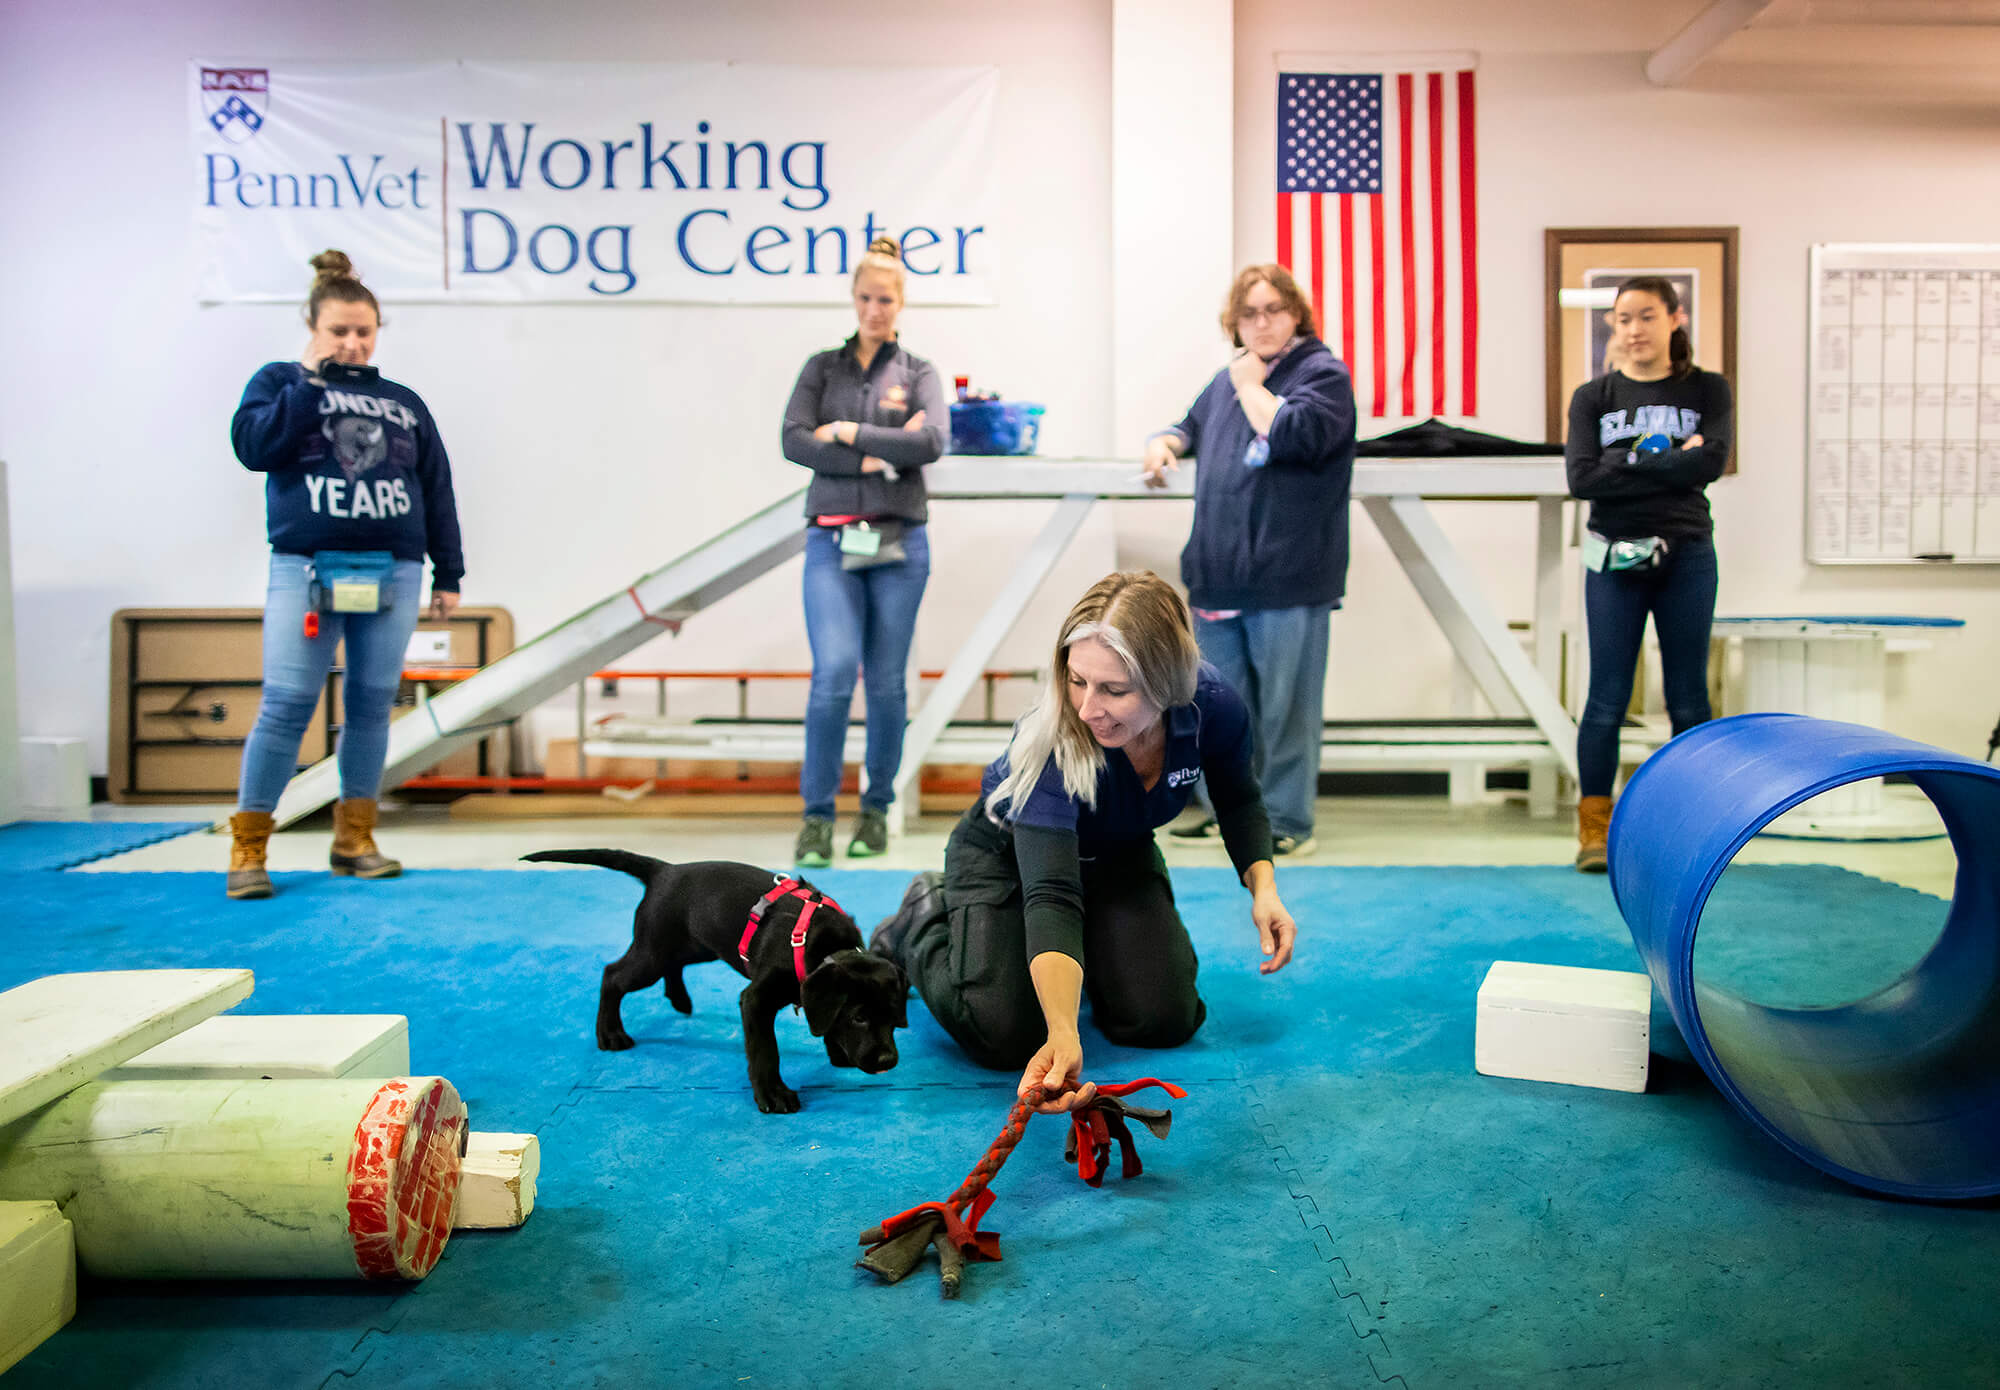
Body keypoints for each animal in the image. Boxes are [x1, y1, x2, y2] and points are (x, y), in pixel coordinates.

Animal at [528, 844, 912, 1112]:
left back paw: (679, 999)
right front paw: (773, 1095)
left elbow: (824, 1021)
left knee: (672, 965)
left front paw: (837, 1052)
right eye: (859, 1018)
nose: (888, 1062)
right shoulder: (755, 1000)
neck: (820, 946)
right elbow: (765, 1050)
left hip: (695, 944)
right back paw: (610, 1034)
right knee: (612, 975)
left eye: (895, 1019)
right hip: (653, 953)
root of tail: (664, 871)